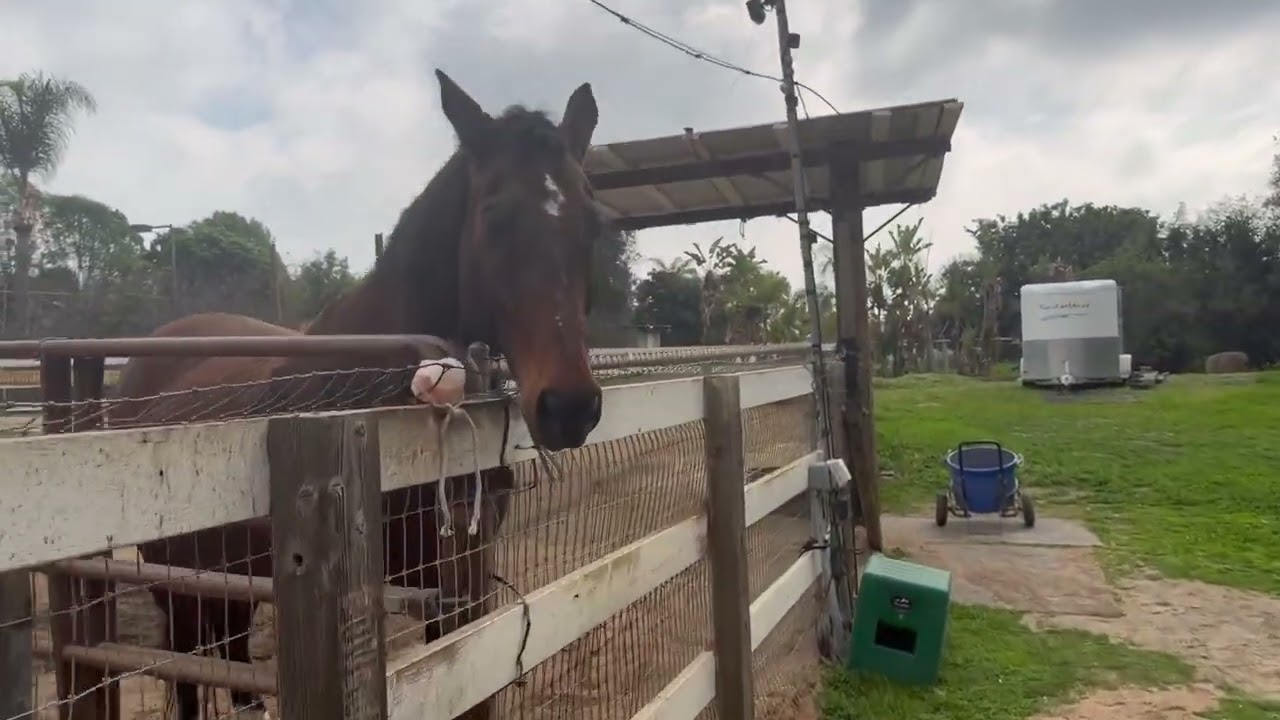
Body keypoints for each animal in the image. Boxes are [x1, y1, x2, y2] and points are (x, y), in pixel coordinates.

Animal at [111, 70, 604, 719]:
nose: (569, 406)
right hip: (176, 582)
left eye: (593, 220)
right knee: (189, 676)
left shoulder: (465, 582)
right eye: (494, 215)